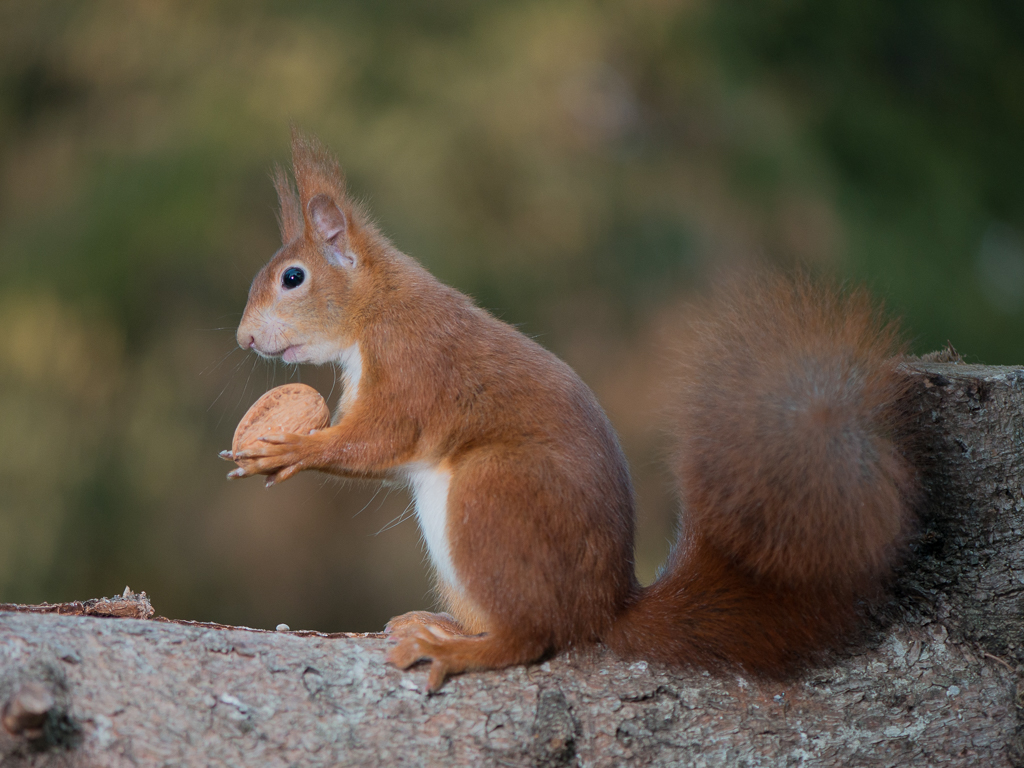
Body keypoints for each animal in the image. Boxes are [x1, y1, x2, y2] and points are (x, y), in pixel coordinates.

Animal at [228, 131, 917, 692]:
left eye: (293, 278)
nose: (244, 339)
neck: (376, 306)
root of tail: (603, 612)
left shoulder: (413, 366)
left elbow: (380, 440)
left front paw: (290, 449)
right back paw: (442, 624)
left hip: (492, 498)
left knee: (531, 639)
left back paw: (453, 651)